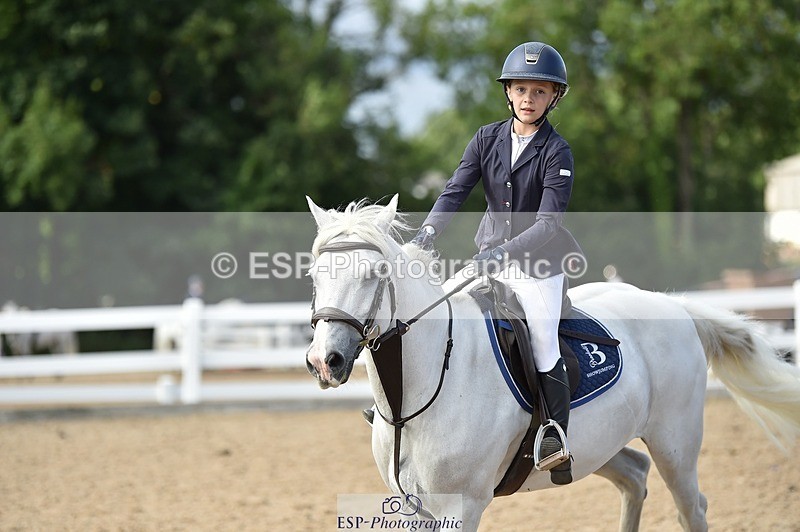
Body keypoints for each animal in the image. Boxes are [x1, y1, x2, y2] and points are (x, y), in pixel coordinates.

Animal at [304, 195, 800, 531]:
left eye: (375, 274)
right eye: (314, 275)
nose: (324, 361)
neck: (416, 396)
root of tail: (673, 305)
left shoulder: (460, 507)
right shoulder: (413, 507)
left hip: (675, 443)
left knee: (691, 508)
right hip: (599, 444)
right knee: (635, 477)